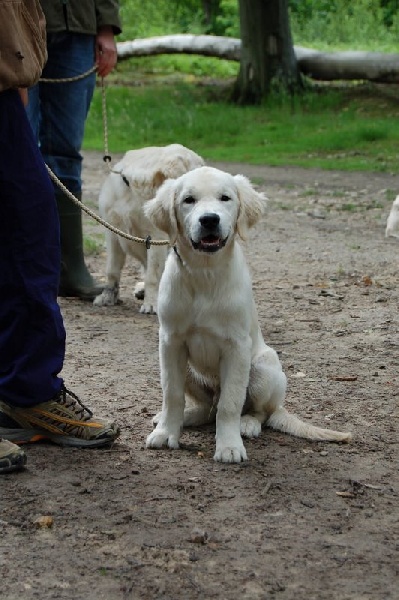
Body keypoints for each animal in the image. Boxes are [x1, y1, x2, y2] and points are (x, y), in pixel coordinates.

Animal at [94, 144, 205, 314]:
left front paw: (151, 304)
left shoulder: (155, 237)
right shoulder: (112, 232)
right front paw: (108, 296)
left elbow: (152, 275)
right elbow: (112, 269)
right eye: (198, 168)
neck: (135, 192)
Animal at [145, 166, 352, 466]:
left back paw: (248, 424)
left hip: (265, 369)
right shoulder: (171, 341)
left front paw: (229, 446)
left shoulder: (237, 347)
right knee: (208, 408)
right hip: (192, 371)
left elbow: (230, 404)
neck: (205, 273)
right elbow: (172, 394)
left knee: (257, 411)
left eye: (225, 198)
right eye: (188, 200)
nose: (209, 220)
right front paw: (166, 433)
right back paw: (186, 417)